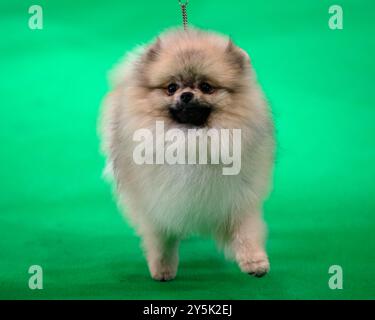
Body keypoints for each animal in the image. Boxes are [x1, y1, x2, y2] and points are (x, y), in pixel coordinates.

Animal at [101, 28, 274, 282]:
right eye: (171, 87)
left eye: (206, 87)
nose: (186, 95)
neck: (191, 139)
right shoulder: (157, 201)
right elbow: (161, 240)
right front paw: (162, 268)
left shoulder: (238, 197)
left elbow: (246, 232)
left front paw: (255, 262)